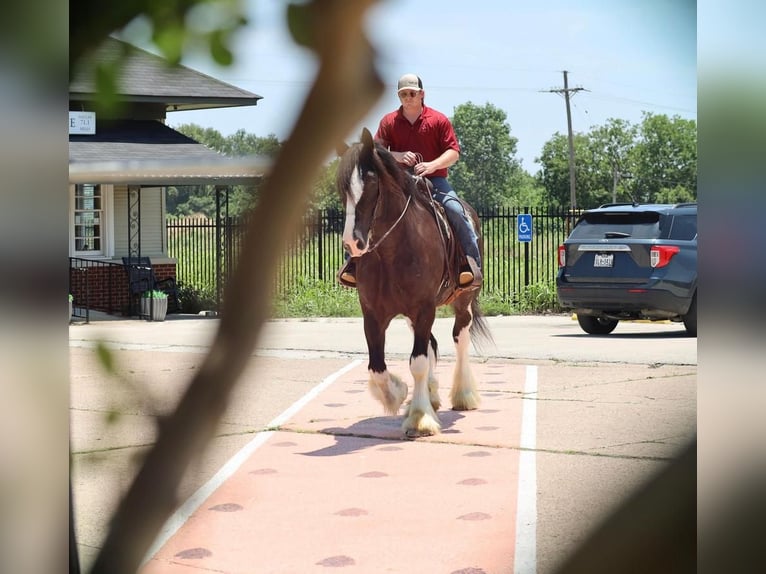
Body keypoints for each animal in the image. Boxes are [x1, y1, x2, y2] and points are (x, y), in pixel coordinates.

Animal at [340, 128, 496, 438]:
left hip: (462, 301)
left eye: (371, 183)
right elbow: (377, 367)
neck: (393, 252)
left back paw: (463, 394)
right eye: (342, 190)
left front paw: (420, 418)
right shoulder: (372, 313)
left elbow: (419, 362)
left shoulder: (424, 308)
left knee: (460, 339)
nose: (352, 242)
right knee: (432, 345)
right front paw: (398, 394)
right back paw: (431, 396)